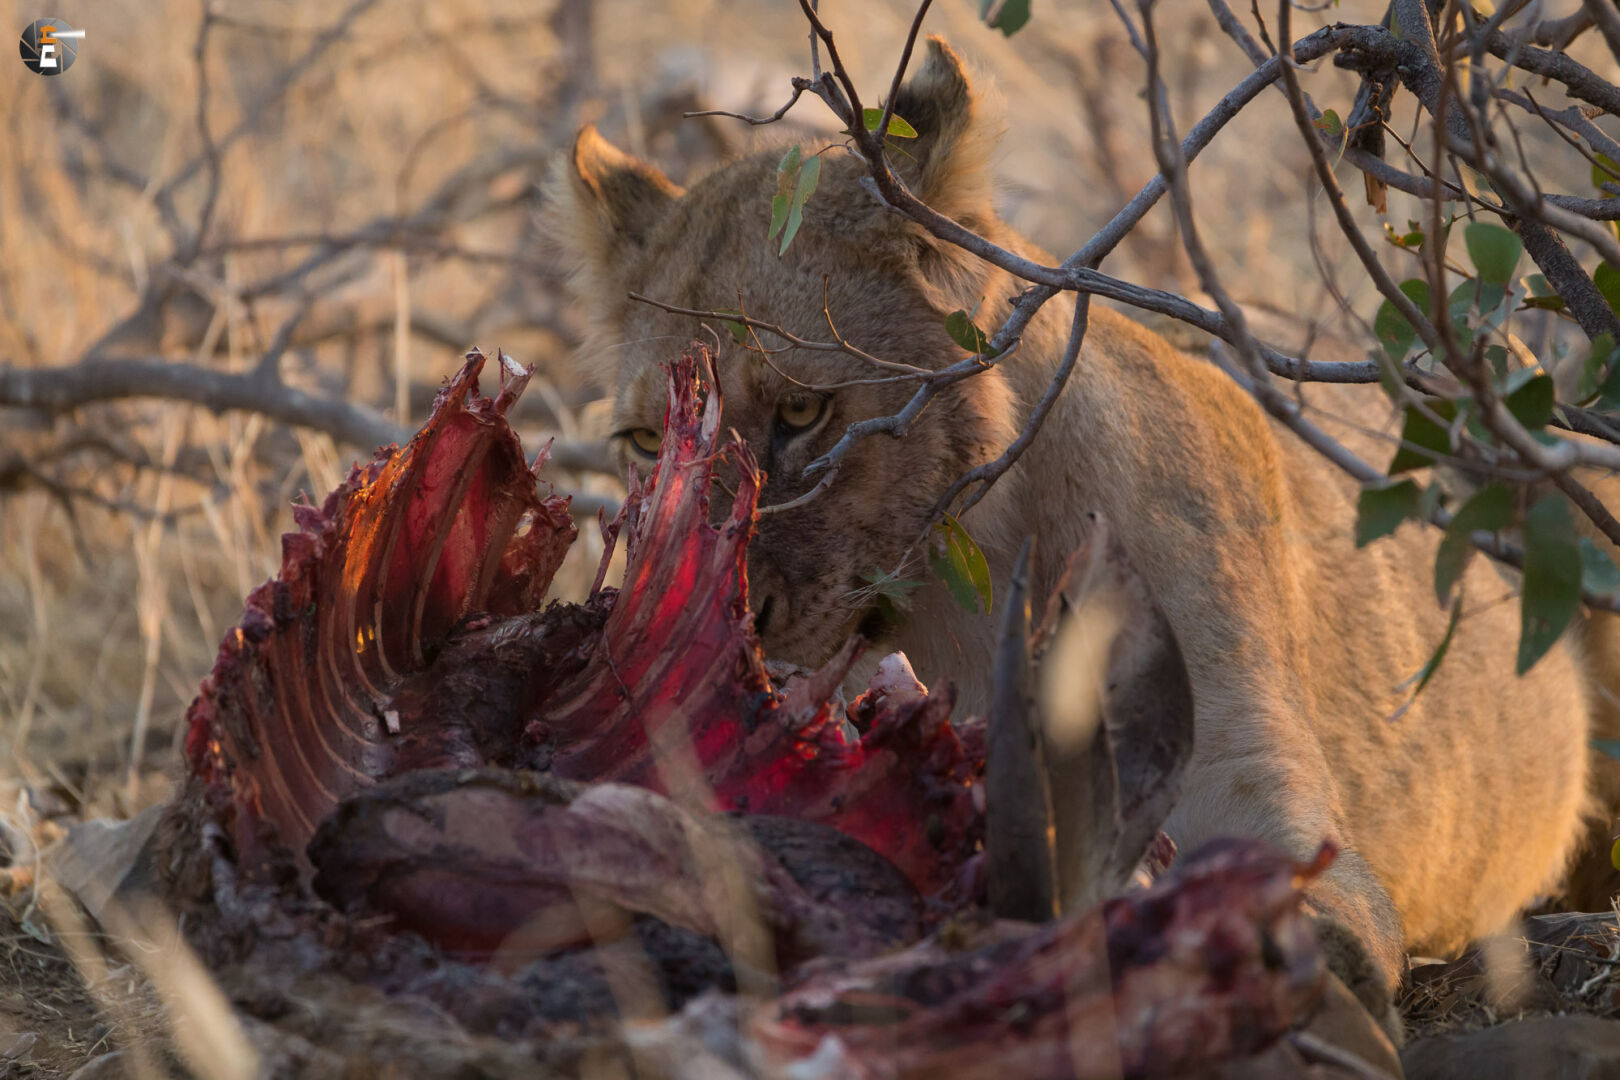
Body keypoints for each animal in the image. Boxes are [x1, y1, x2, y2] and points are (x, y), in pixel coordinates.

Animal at [552, 36, 1597, 1030]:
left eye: (803, 411)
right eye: (647, 443)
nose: (722, 622)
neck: (967, 601)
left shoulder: (1244, 770)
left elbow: (1312, 884)